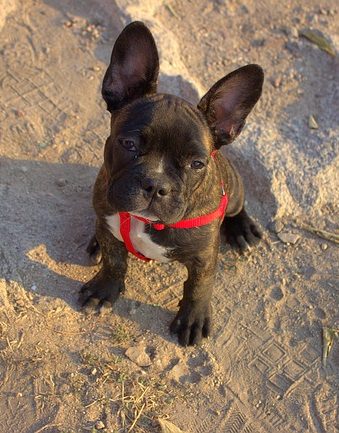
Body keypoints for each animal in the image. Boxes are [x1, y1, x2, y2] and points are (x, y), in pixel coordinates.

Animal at [80, 20, 266, 346]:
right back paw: (95, 243)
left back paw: (243, 230)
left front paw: (192, 319)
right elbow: (115, 261)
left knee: (237, 208)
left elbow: (198, 287)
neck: (145, 222)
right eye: (128, 144)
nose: (156, 185)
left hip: (234, 191)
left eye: (197, 164)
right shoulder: (107, 217)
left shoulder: (205, 257)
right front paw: (104, 289)